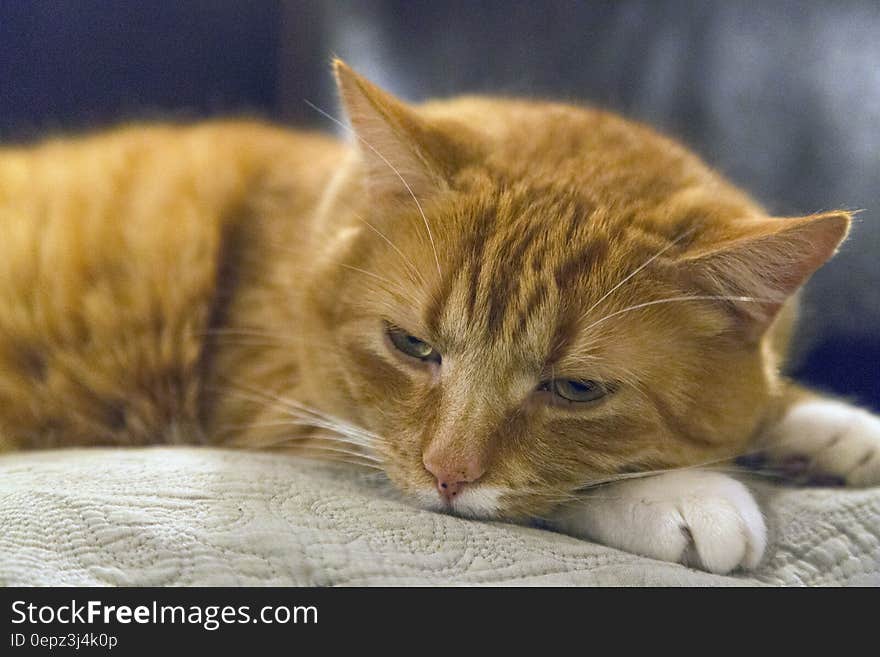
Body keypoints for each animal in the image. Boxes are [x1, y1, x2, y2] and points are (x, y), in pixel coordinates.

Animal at [1, 62, 880, 576]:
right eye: (411, 345)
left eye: (576, 389)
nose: (447, 473)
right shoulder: (283, 408)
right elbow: (559, 486)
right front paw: (684, 492)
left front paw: (823, 426)